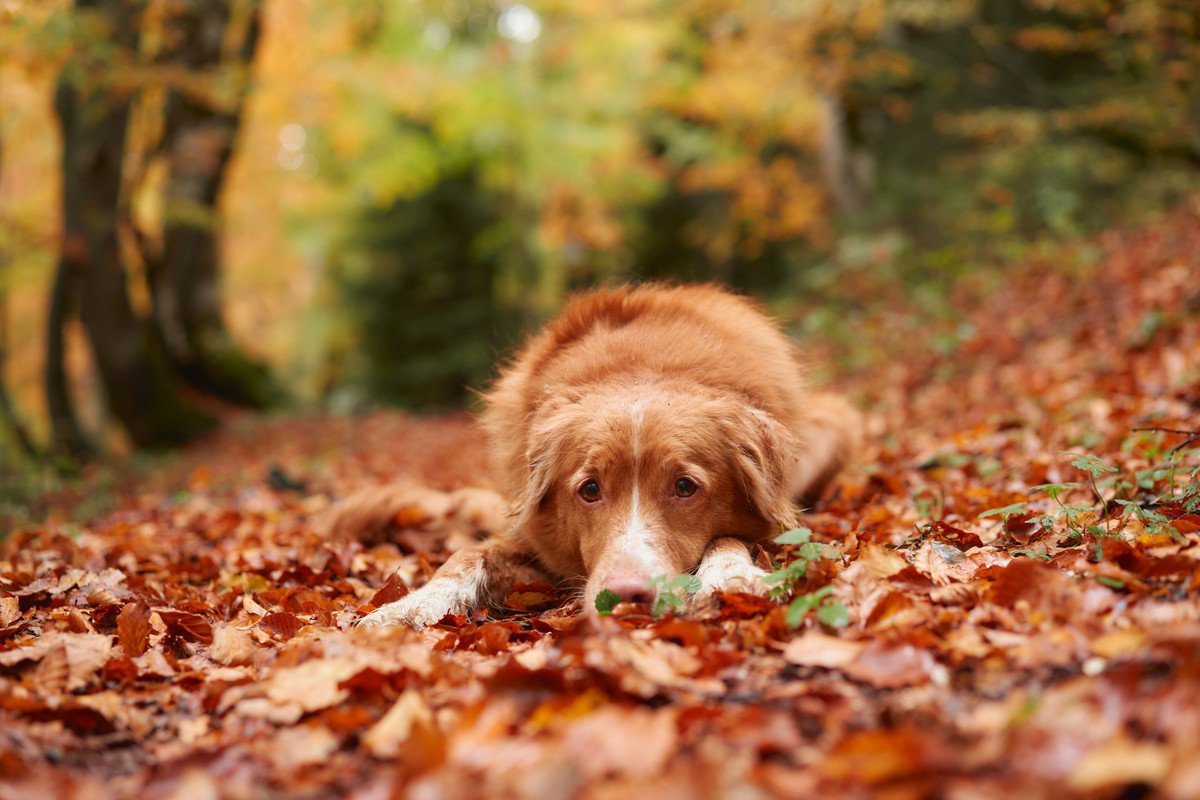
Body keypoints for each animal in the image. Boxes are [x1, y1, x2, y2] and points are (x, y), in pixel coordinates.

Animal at [360, 284, 859, 628]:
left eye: (685, 487)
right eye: (589, 490)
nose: (626, 596)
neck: (643, 368)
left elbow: (730, 538)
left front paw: (729, 576)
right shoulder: (534, 542)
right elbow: (467, 555)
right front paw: (408, 605)